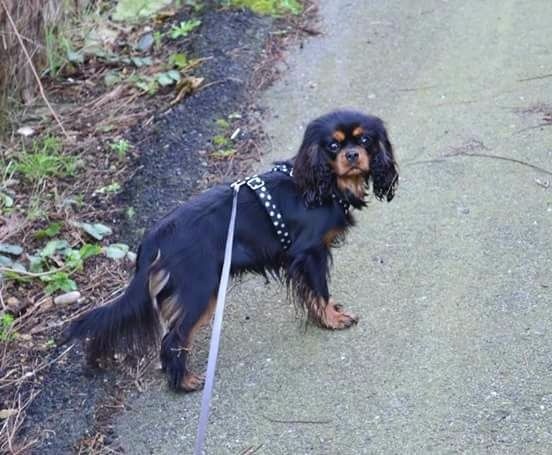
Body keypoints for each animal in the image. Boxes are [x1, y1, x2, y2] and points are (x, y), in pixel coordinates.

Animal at [64, 110, 398, 392]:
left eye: (365, 140)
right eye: (333, 145)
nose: (352, 155)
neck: (321, 186)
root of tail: (155, 237)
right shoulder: (310, 253)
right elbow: (320, 291)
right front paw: (332, 319)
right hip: (201, 290)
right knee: (173, 338)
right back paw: (185, 382)